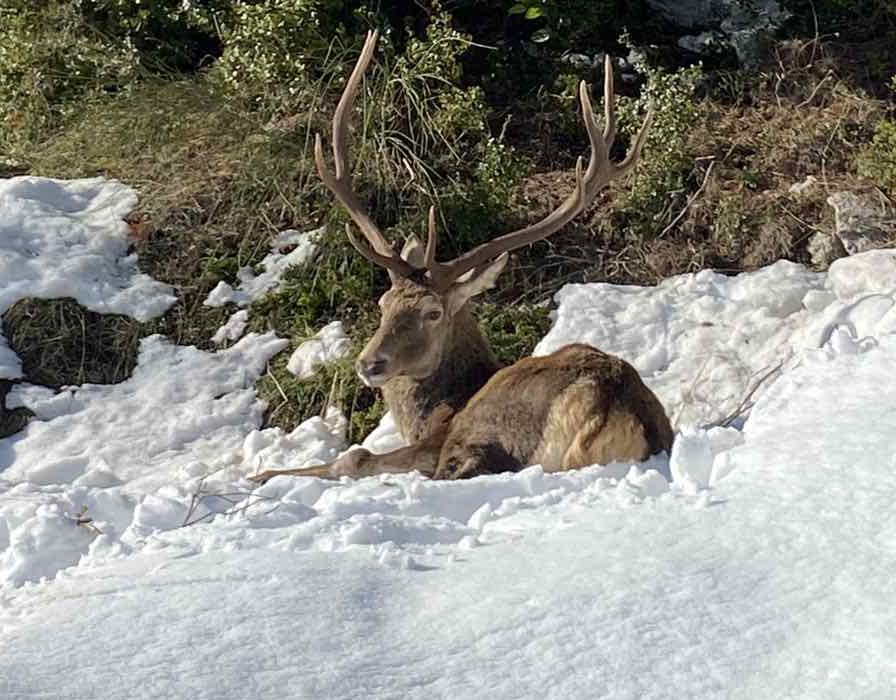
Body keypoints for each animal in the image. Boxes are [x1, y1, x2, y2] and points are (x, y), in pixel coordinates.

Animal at [247, 31, 672, 482]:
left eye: (433, 312)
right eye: (384, 303)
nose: (369, 363)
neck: (437, 409)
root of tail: (611, 404)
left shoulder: (432, 444)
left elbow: (354, 457)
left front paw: (259, 477)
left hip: (492, 428)